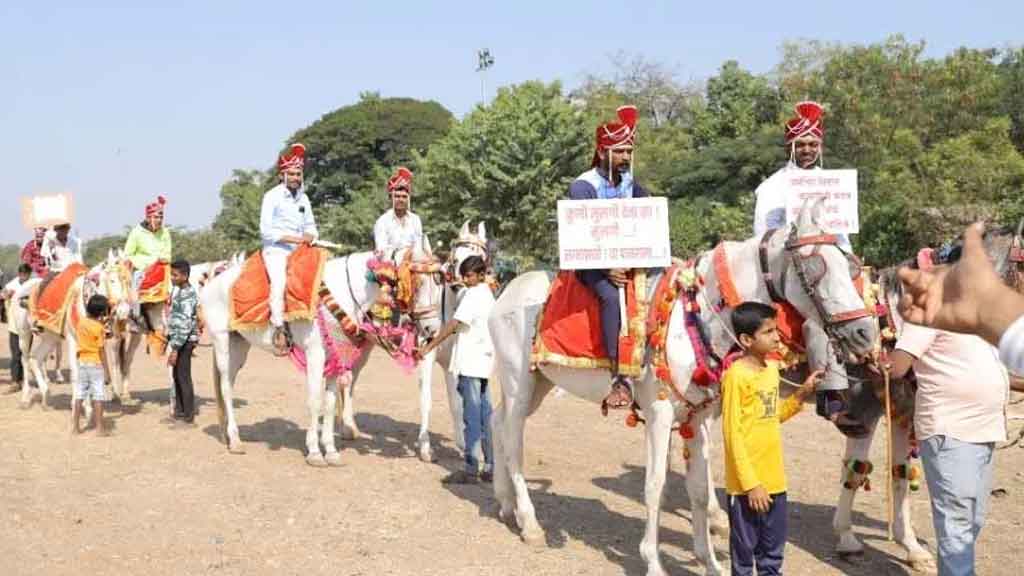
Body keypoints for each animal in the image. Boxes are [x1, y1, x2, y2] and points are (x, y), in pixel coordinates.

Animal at [198, 245, 440, 461]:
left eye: (438, 284)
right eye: (417, 283)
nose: (432, 330)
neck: (341, 294)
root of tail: (210, 285)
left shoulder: (335, 357)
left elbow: (330, 403)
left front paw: (330, 450)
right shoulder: (315, 355)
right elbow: (315, 400)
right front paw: (314, 451)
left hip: (239, 345)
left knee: (229, 384)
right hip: (222, 341)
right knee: (225, 388)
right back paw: (235, 440)